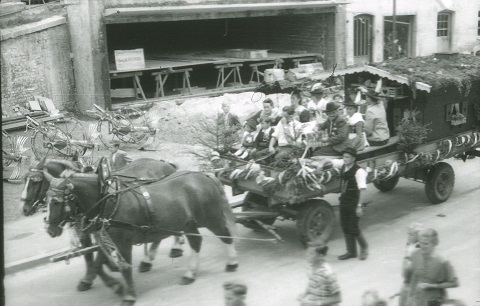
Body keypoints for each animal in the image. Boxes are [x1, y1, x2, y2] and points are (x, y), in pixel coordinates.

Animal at [45, 171, 238, 304]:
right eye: (46, 200)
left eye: (56, 202)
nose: (50, 230)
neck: (108, 201)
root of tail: (204, 175)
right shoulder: (109, 241)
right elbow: (98, 266)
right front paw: (116, 286)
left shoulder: (123, 243)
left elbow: (126, 269)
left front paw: (129, 295)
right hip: (189, 223)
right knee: (196, 242)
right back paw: (190, 273)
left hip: (210, 217)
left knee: (225, 236)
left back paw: (232, 263)